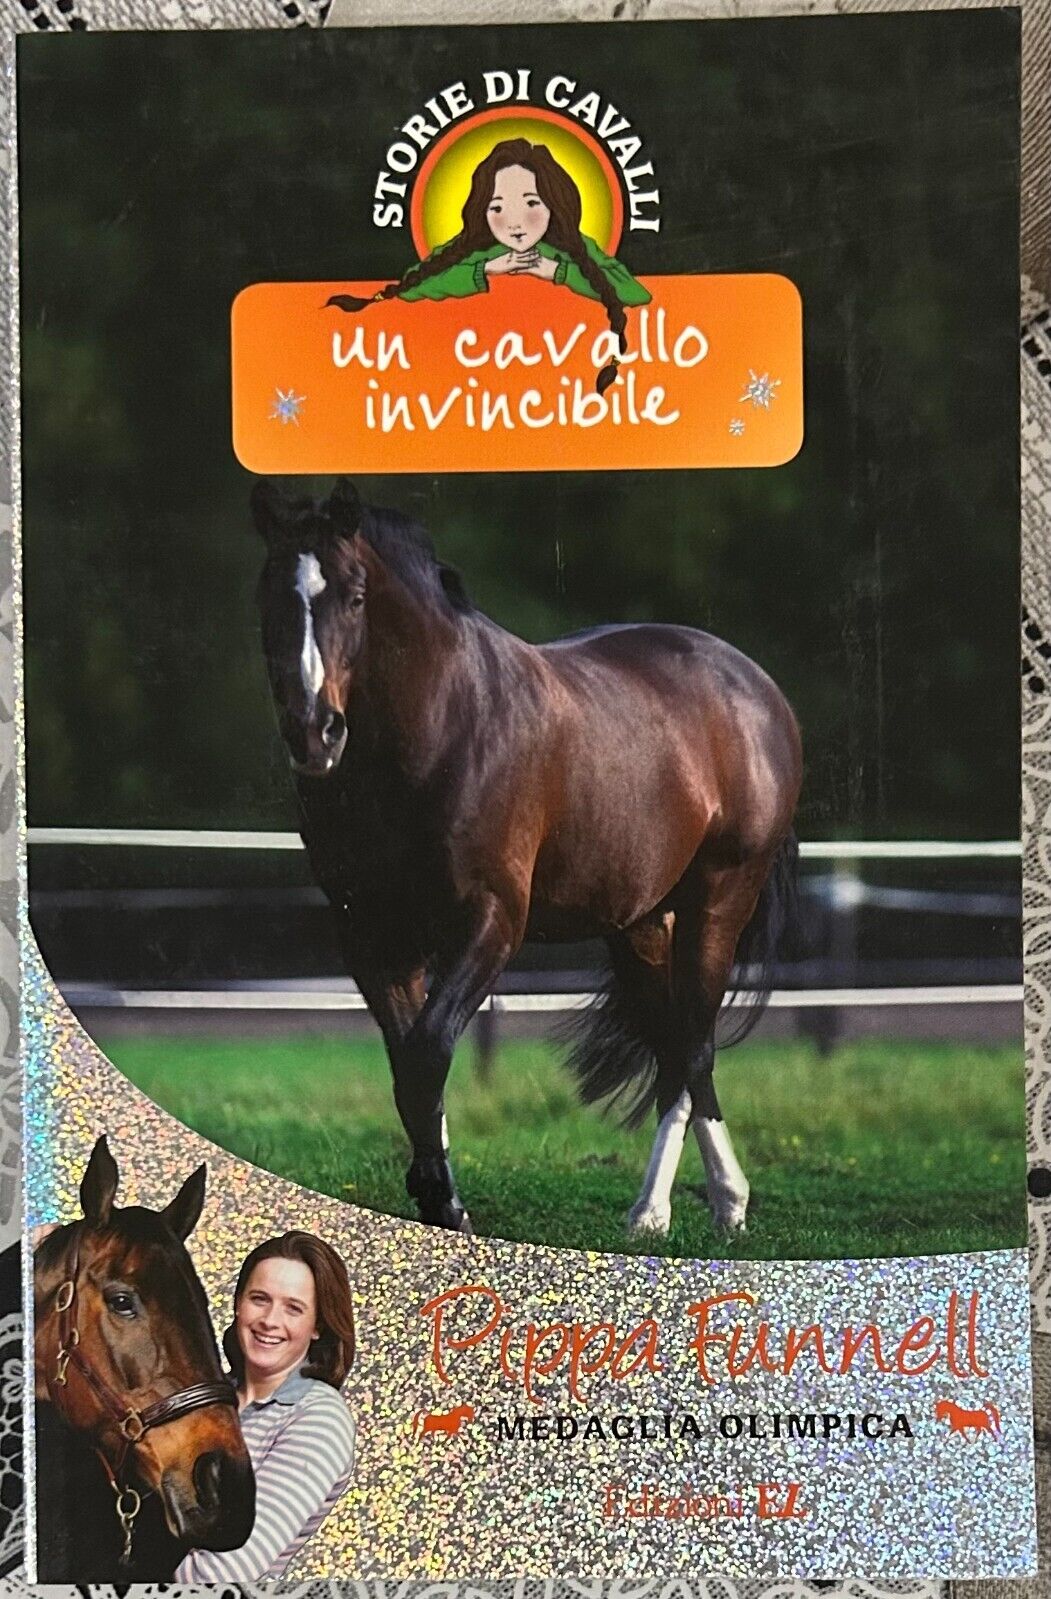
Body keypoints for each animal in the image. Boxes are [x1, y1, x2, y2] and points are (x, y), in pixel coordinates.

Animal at [252, 478, 802, 1239]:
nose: (313, 732)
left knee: (694, 1044)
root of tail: (755, 689)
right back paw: (659, 1211)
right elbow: (406, 1062)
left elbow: (428, 1051)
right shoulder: (371, 934)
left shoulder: (491, 921)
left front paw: (443, 1201)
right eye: (268, 592)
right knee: (670, 1049)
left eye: (356, 595)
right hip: (638, 923)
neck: (440, 729)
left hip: (718, 900)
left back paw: (712, 1203)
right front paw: (435, 1197)